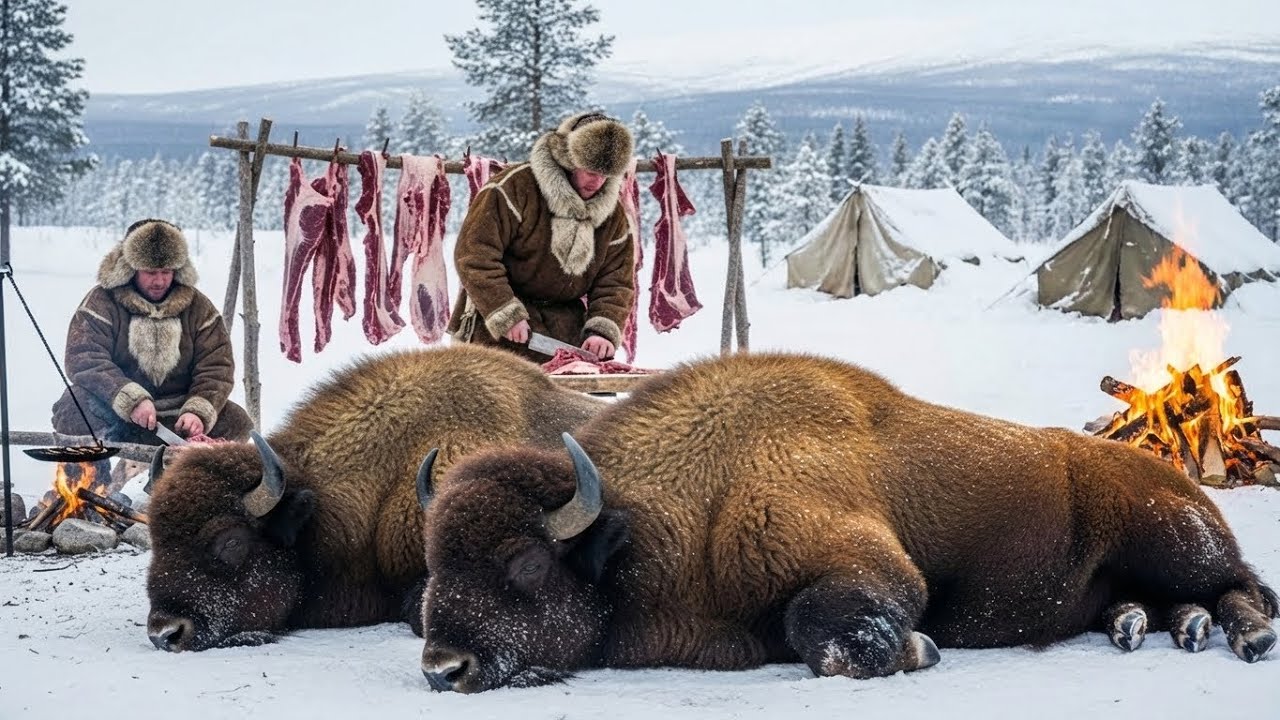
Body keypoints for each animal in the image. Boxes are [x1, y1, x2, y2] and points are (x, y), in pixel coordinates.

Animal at [417, 352, 1278, 692]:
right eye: (434, 565)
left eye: (527, 562)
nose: (441, 668)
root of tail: (1174, 477)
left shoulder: (865, 568)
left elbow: (825, 630)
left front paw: (919, 649)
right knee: (1162, 602)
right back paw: (1152, 627)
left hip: (1173, 541)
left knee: (1244, 585)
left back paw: (1243, 638)